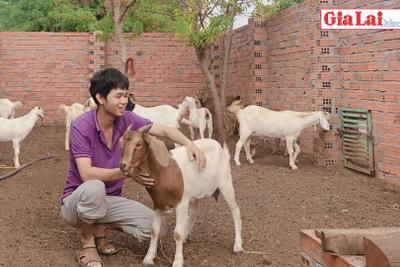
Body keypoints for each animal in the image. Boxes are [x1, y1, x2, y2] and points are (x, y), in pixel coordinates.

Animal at [119, 125, 244, 267]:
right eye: (121, 144)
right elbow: (154, 230)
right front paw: (148, 258)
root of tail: (222, 150)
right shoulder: (158, 203)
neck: (164, 171)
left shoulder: (181, 203)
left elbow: (177, 233)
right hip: (194, 193)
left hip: (226, 184)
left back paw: (237, 246)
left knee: (235, 211)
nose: (123, 165)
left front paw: (178, 261)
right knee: (194, 213)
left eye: (139, 144)